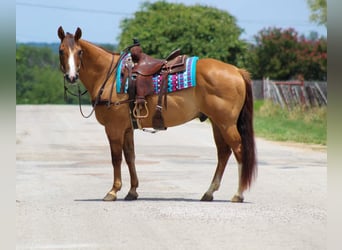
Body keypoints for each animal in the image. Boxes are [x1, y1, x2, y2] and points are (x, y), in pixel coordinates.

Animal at [57, 26, 256, 202]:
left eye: (80, 52)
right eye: (61, 51)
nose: (72, 77)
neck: (110, 75)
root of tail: (237, 70)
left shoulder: (114, 128)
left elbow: (116, 159)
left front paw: (113, 191)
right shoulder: (127, 129)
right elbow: (130, 157)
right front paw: (132, 191)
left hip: (226, 124)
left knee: (238, 150)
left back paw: (238, 194)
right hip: (216, 123)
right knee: (223, 153)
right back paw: (209, 192)